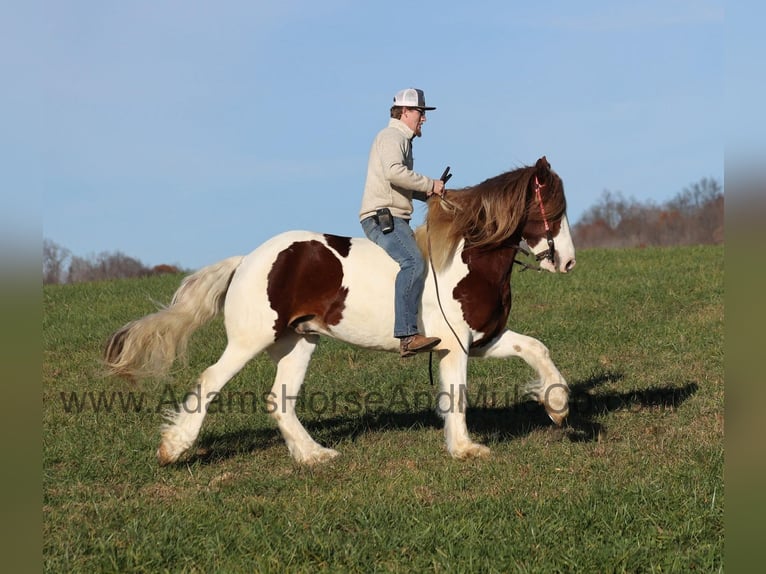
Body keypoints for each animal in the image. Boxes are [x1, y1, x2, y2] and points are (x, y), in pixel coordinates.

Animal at [105, 155, 580, 466]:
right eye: (553, 209)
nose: (568, 262)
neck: (467, 259)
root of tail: (247, 260)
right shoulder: (456, 345)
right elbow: (457, 395)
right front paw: (467, 449)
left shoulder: (481, 340)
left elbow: (536, 348)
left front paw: (558, 408)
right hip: (250, 339)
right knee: (210, 381)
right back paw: (173, 449)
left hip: (298, 342)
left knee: (280, 401)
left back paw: (315, 455)